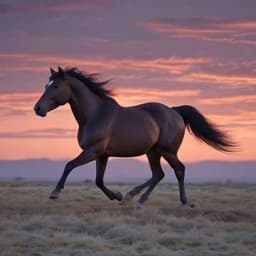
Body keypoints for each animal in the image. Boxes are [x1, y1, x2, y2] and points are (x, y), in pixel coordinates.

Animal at [34, 66, 236, 208]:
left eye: (56, 86)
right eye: (45, 85)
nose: (37, 108)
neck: (95, 114)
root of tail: (175, 112)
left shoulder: (93, 150)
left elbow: (69, 165)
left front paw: (55, 192)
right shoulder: (102, 155)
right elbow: (99, 181)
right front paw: (117, 196)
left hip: (167, 151)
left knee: (179, 170)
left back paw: (183, 201)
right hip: (153, 152)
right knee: (158, 174)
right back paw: (135, 198)